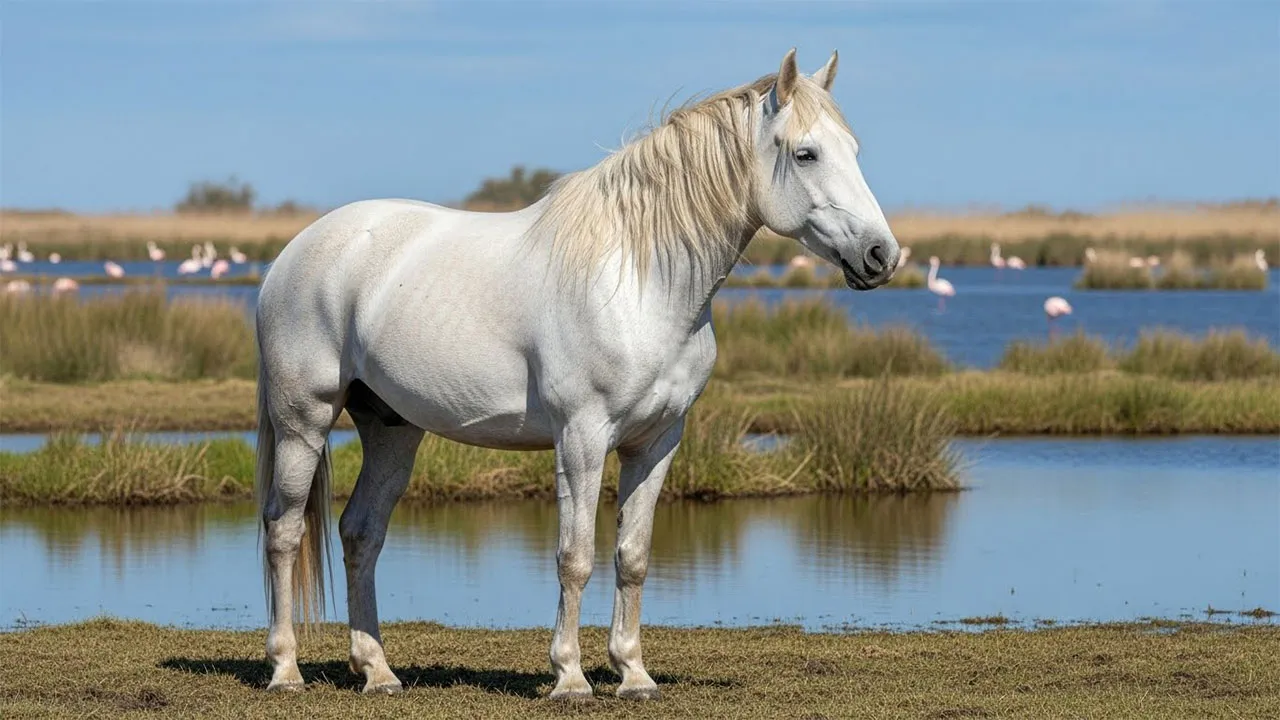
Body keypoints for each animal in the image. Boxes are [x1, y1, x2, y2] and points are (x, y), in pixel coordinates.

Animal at [254, 47, 900, 700]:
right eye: (806, 153)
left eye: (853, 149)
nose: (882, 256)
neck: (640, 282)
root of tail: (290, 255)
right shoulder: (582, 440)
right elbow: (576, 556)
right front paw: (569, 677)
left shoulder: (656, 443)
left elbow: (632, 556)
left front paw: (633, 674)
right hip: (304, 421)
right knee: (284, 531)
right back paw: (286, 670)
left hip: (391, 429)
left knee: (361, 533)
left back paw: (378, 671)